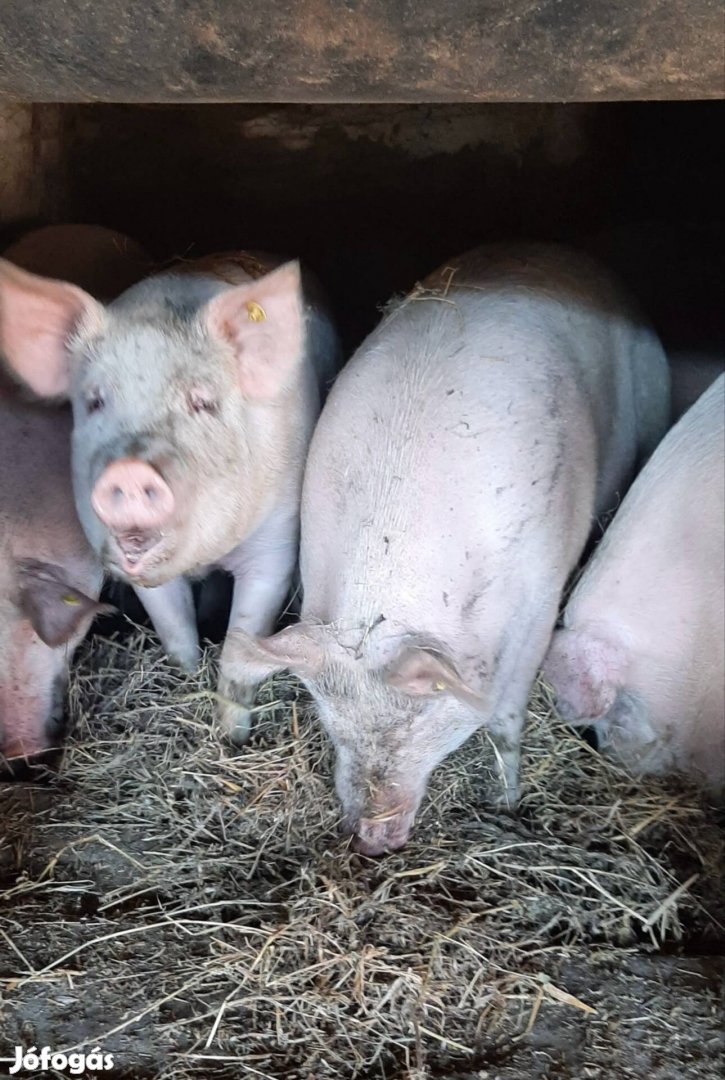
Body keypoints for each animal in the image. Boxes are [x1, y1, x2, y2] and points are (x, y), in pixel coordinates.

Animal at [223, 243, 674, 851]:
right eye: (329, 719)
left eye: (421, 715)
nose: (371, 837)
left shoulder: (541, 597)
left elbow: (506, 715)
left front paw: (507, 800)